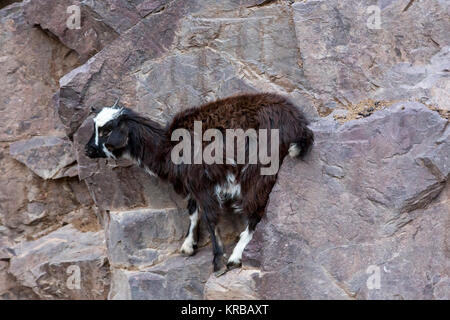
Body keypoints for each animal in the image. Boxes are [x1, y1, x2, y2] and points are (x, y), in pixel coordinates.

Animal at [86, 92, 314, 276]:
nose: (88, 150)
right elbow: (192, 210)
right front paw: (188, 245)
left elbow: (211, 218)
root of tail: (298, 125)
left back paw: (236, 256)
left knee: (255, 211)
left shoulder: (203, 182)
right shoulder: (192, 182)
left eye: (106, 130)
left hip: (259, 170)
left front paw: (218, 263)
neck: (167, 147)